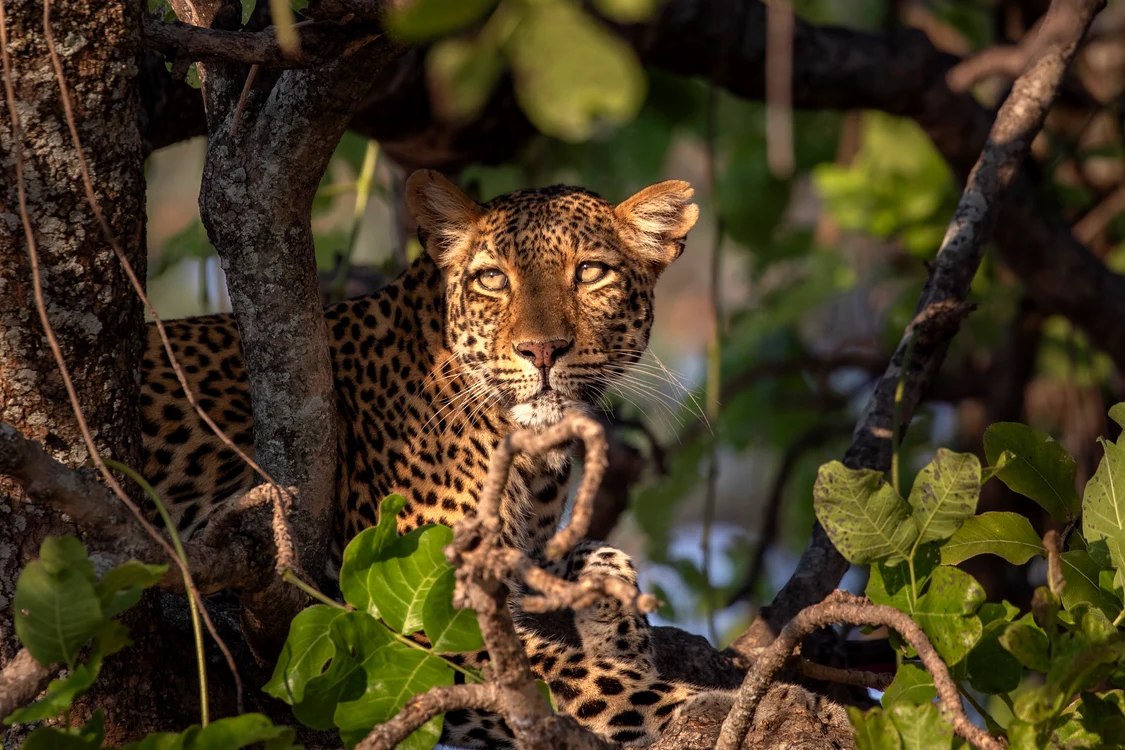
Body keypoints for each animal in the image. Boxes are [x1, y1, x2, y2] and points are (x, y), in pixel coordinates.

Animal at [139, 169, 716, 747]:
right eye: (492, 279)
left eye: (591, 272)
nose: (542, 350)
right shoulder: (417, 614)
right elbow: (588, 685)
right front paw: (691, 705)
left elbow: (605, 555)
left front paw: (623, 635)